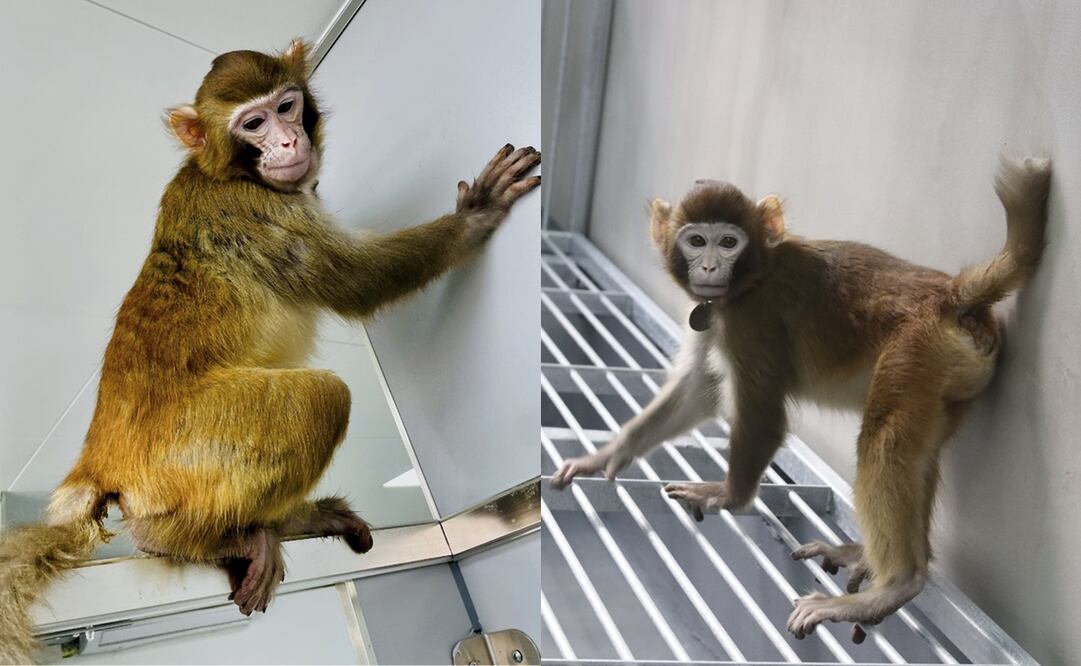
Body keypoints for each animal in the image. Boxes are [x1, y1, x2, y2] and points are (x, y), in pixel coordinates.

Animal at [0, 40, 540, 663]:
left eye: (286, 106)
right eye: (252, 124)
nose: (287, 142)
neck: (225, 172)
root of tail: (99, 458)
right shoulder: (256, 211)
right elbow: (360, 283)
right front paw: (476, 215)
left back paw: (289, 522)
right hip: (189, 447)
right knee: (323, 397)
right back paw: (188, 538)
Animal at [551, 157, 1050, 640]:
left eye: (728, 242)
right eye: (695, 240)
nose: (709, 268)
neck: (755, 277)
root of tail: (949, 295)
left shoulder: (753, 320)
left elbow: (763, 415)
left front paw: (730, 496)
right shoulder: (717, 314)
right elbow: (698, 388)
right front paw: (607, 455)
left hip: (915, 349)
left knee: (884, 441)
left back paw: (894, 585)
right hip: (948, 377)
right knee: (916, 453)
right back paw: (876, 559)